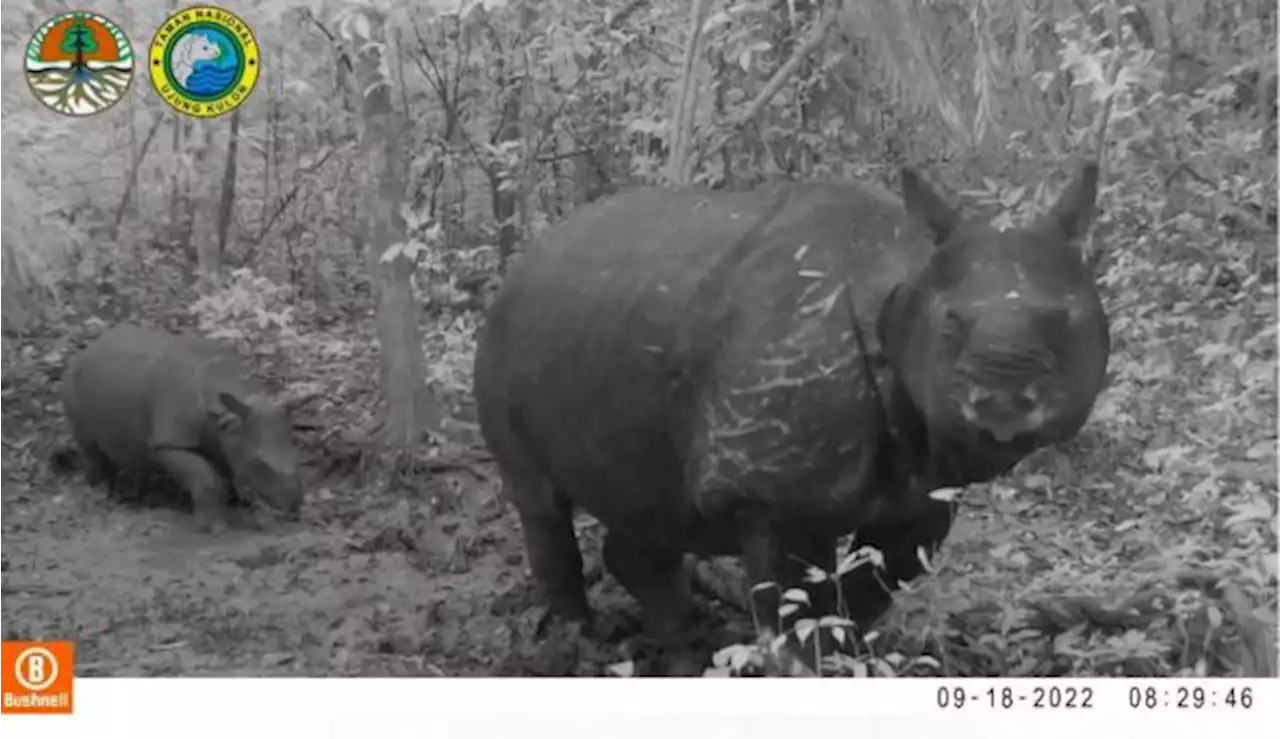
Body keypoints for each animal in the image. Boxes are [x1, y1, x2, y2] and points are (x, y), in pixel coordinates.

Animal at [473, 162, 1111, 676]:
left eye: (1065, 321)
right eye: (950, 324)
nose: (1001, 397)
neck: (903, 287)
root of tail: (526, 258)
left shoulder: (925, 493)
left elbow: (868, 589)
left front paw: (853, 659)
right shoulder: (767, 495)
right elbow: (796, 609)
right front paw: (812, 670)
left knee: (649, 504)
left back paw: (679, 654)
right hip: (503, 338)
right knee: (540, 501)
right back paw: (573, 645)